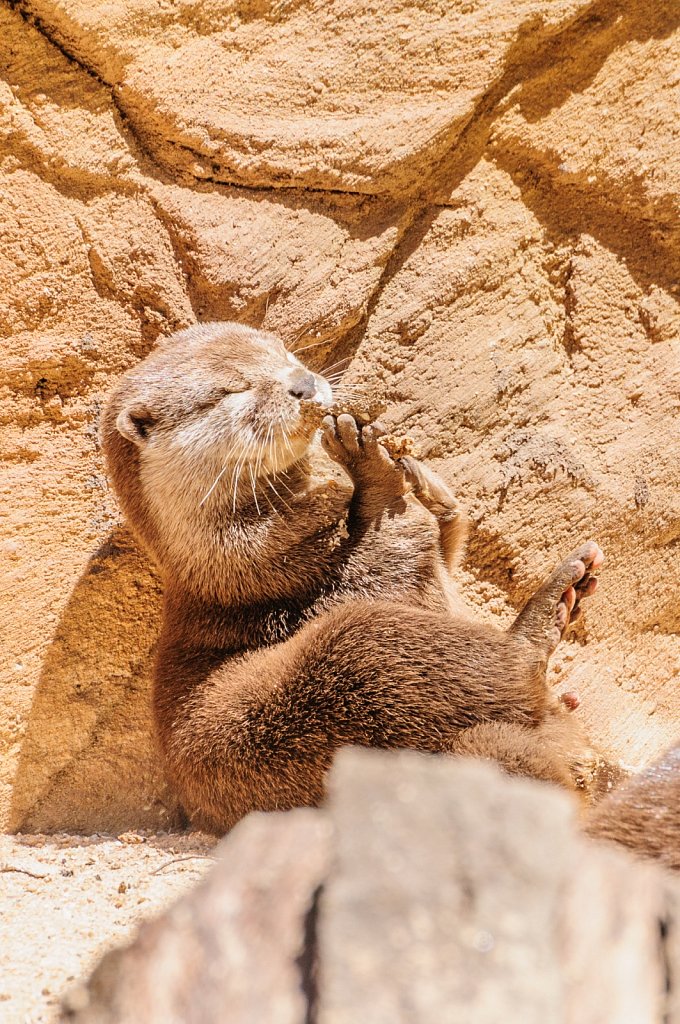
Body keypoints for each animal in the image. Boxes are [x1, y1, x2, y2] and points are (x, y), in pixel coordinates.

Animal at [100, 321, 604, 833]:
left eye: (285, 354)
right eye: (232, 389)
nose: (303, 384)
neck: (253, 567)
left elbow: (450, 532)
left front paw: (415, 475)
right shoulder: (318, 577)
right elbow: (402, 538)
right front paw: (374, 474)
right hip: (348, 675)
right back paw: (543, 618)